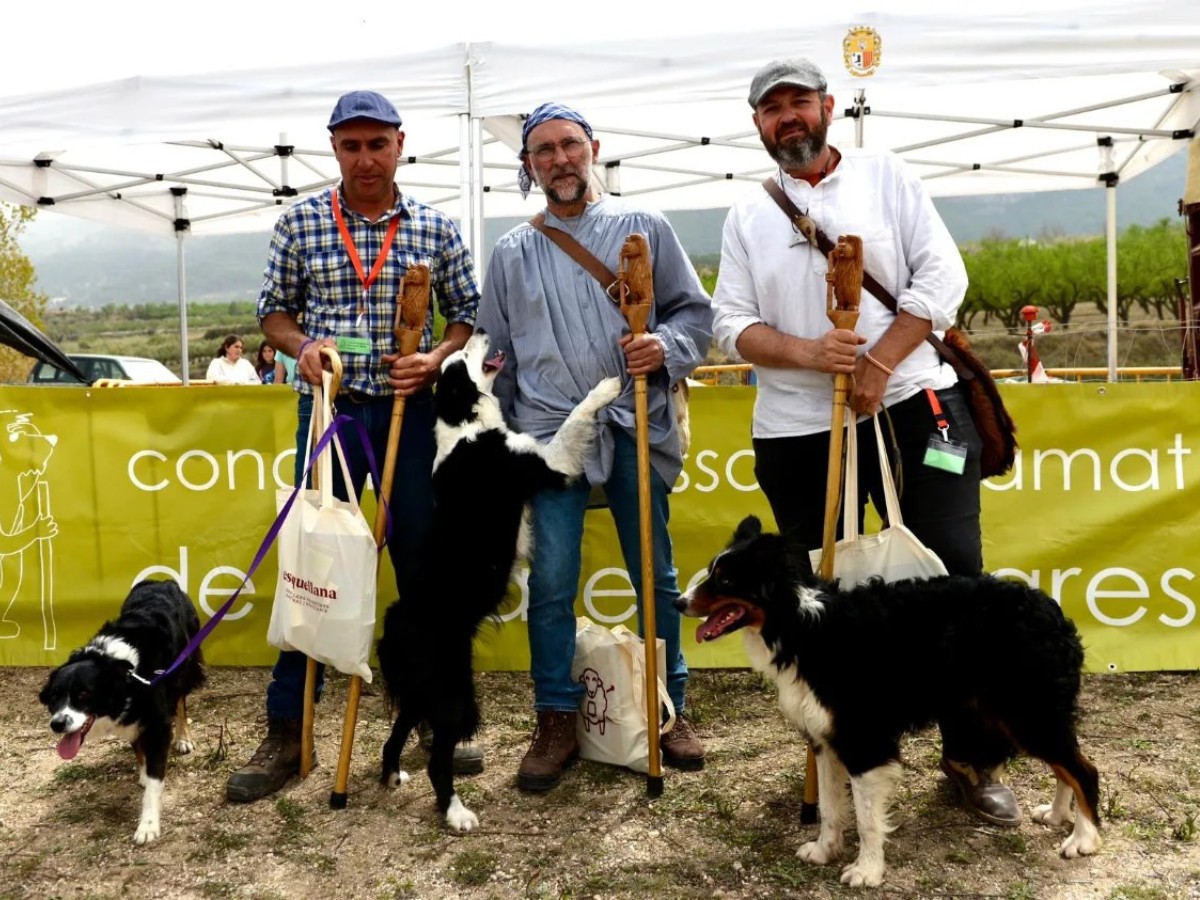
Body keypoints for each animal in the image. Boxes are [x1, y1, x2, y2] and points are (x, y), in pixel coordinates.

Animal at [374, 331, 619, 830]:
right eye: (461, 358)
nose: (480, 330)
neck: (463, 423)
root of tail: (393, 626)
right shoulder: (548, 463)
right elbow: (576, 417)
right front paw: (608, 386)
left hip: (421, 692)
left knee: (395, 735)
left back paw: (393, 776)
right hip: (454, 695)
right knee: (438, 761)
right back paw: (457, 814)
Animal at [676, 518, 1099, 892]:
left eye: (725, 580)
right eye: (713, 571)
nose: (680, 602)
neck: (800, 627)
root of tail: (1051, 608)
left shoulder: (864, 741)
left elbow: (866, 819)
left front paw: (867, 870)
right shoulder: (824, 740)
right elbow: (830, 807)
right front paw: (825, 850)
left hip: (1029, 715)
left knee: (1084, 770)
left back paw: (1083, 838)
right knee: (1067, 768)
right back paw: (1057, 815)